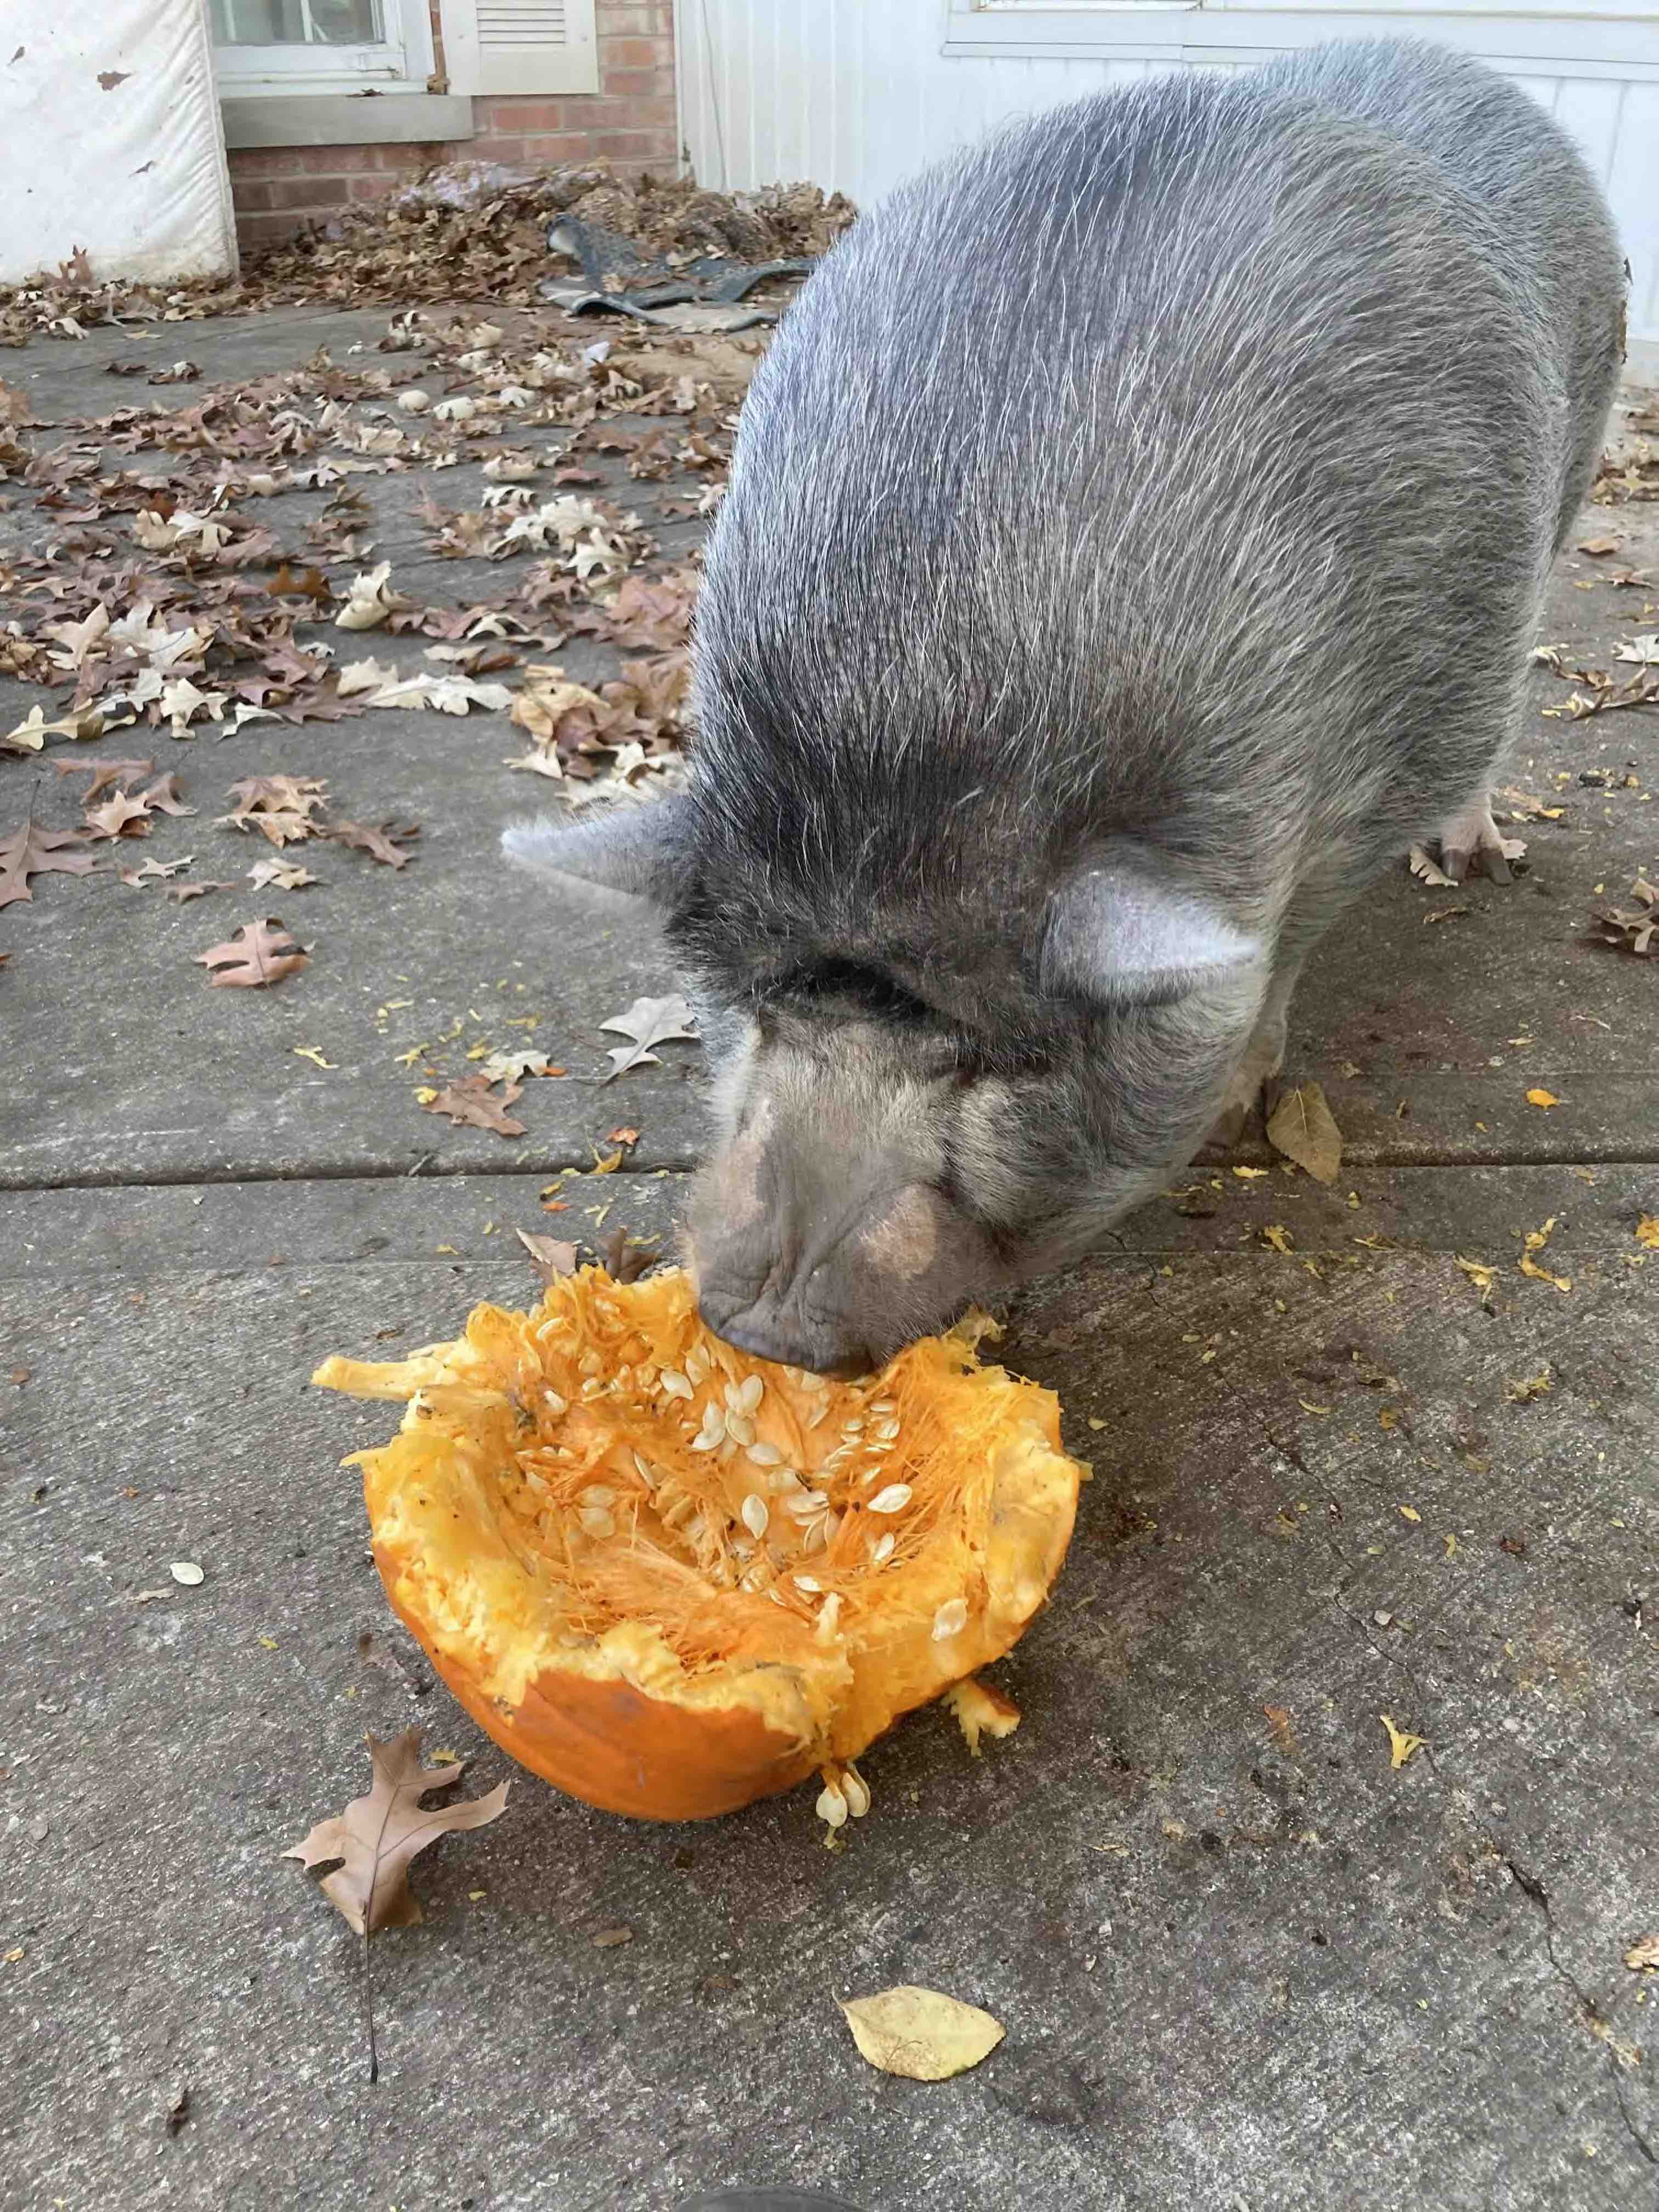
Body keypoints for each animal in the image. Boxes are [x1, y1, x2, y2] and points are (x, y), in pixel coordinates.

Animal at [506, 37, 1626, 1375]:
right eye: (755, 1008)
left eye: (1006, 1068)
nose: (763, 1320)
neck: (927, 692)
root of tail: (1450, 60)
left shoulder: (1406, 734)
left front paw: (1241, 1109)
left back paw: (1471, 862)